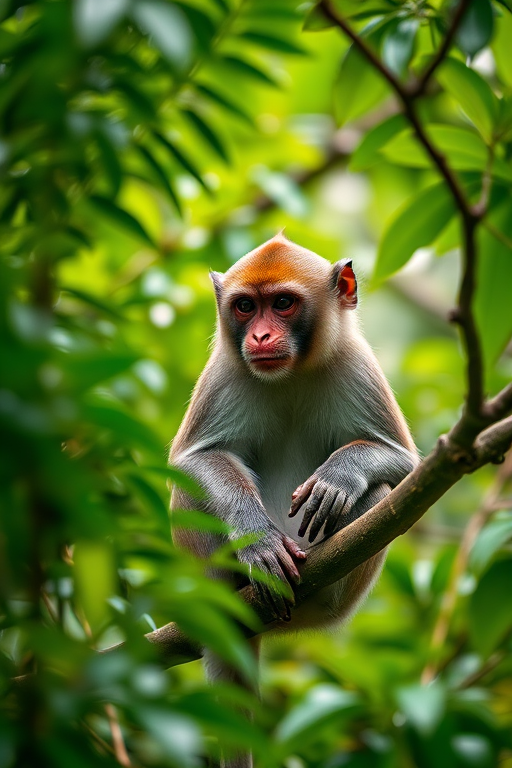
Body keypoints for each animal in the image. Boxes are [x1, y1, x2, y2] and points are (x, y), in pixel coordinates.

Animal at [169, 233, 418, 767]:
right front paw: (257, 539)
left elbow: (404, 464)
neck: (292, 372)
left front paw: (339, 477)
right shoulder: (223, 370)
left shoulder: (358, 365)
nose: (261, 337)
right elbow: (193, 461)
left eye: (282, 303)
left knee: (380, 495)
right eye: (245, 306)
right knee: (191, 495)